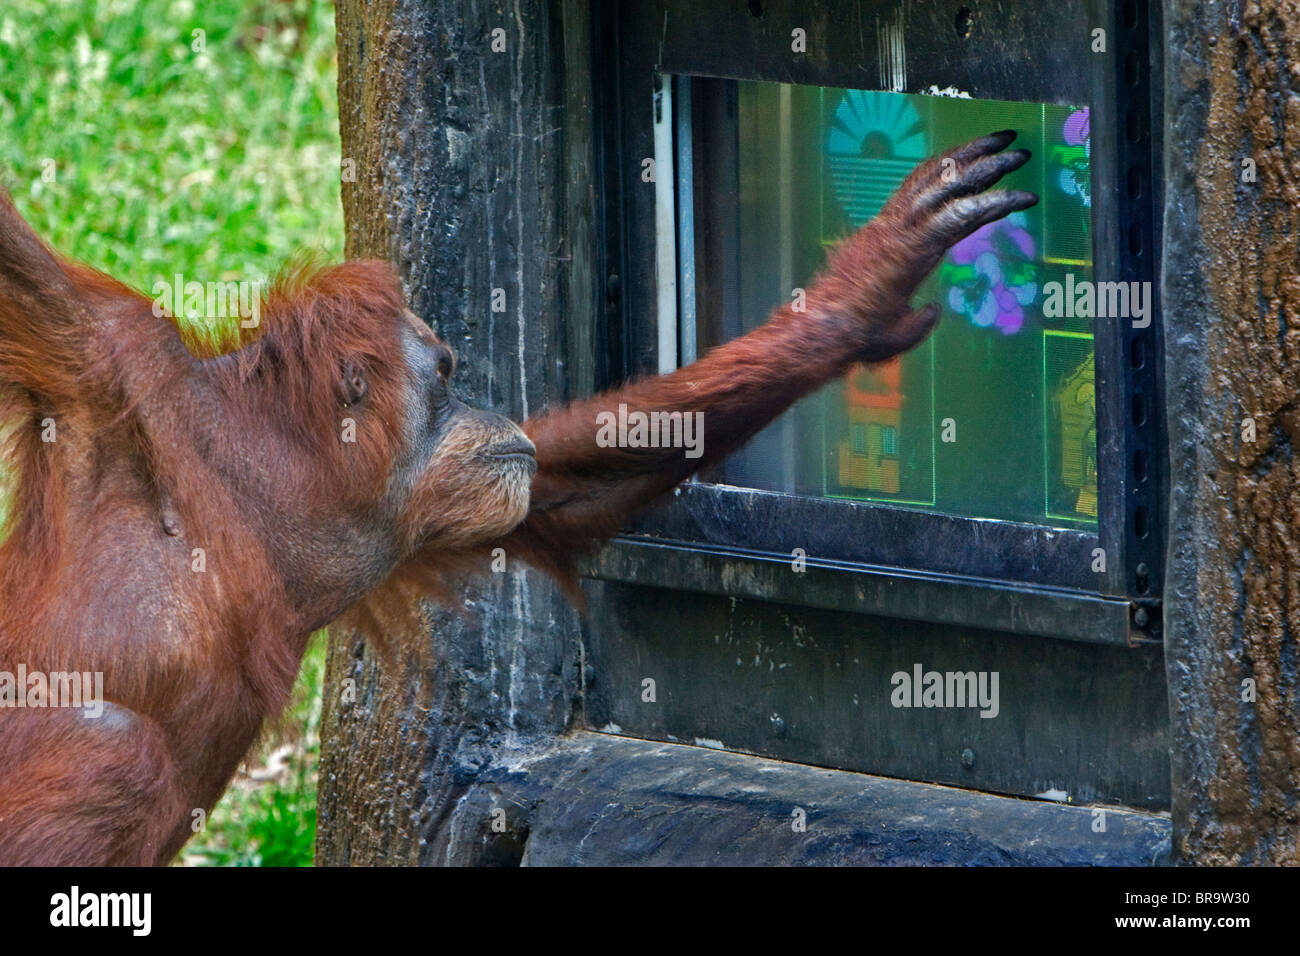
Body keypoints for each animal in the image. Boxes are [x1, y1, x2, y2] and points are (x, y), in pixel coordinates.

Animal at [0, 131, 1035, 865]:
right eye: (447, 372)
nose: (487, 399)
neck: (258, 479)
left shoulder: (427, 512)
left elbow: (569, 486)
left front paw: (865, 290)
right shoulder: (114, 364)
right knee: (115, 756)